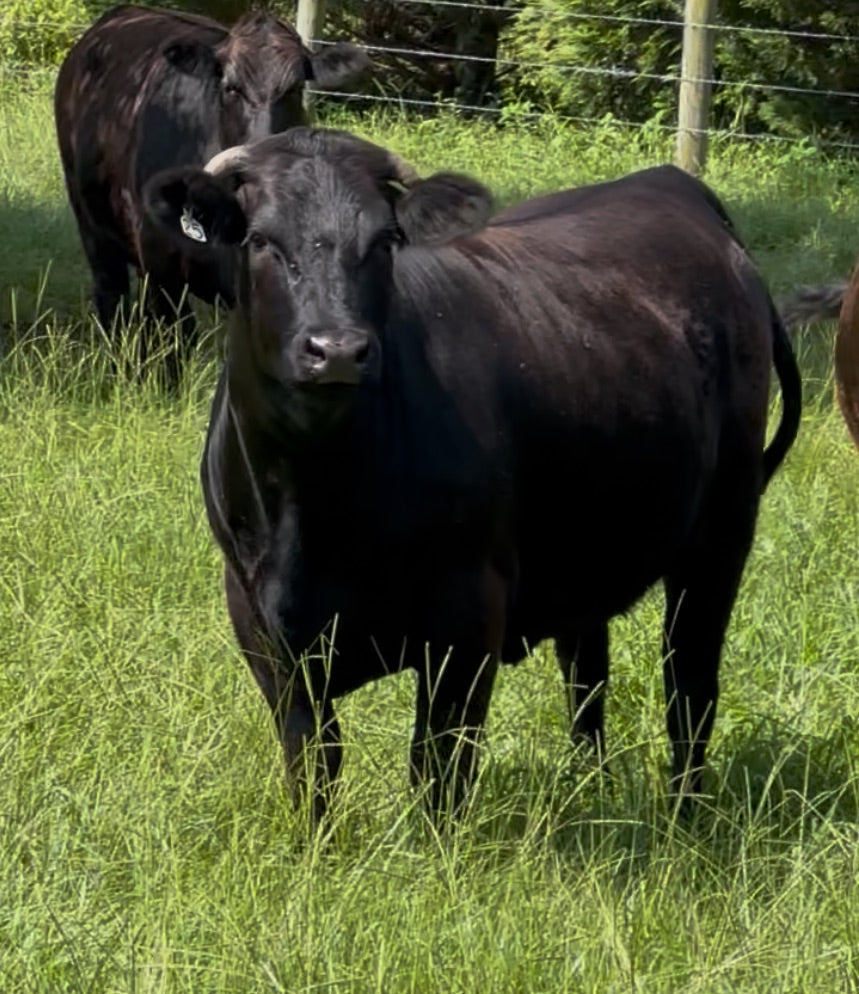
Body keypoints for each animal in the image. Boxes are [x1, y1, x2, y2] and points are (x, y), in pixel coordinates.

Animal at [54, 4, 369, 379]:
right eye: (231, 88)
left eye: (294, 88)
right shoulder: (162, 265)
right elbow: (175, 344)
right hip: (91, 223)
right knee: (112, 297)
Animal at [142, 128, 802, 824]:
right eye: (261, 240)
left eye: (384, 241)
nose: (337, 350)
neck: (316, 500)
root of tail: (671, 184)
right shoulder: (259, 619)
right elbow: (312, 758)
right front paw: (314, 840)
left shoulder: (468, 610)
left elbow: (438, 763)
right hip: (585, 538)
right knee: (586, 668)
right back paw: (588, 786)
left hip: (722, 532)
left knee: (689, 678)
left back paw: (685, 813)